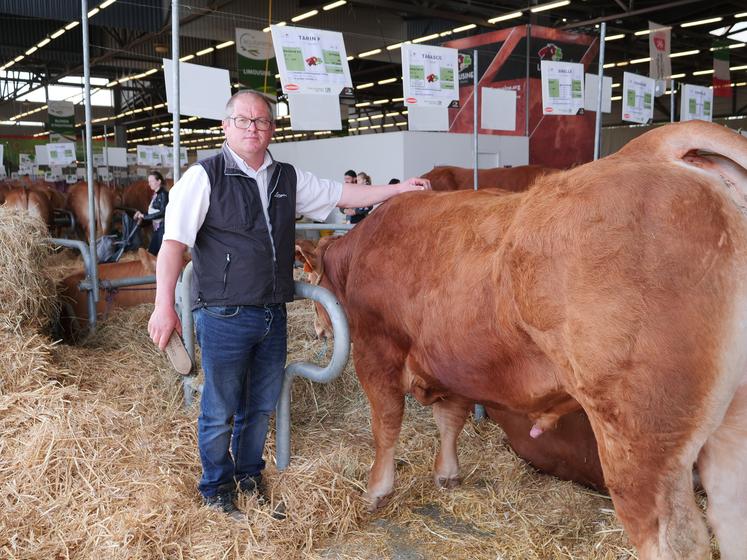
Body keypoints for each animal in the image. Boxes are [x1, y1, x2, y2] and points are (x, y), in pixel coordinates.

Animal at [296, 120, 747, 556]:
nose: (319, 329)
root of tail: (649, 150)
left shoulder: (376, 349)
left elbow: (386, 424)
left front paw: (377, 490)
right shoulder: (454, 361)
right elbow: (450, 419)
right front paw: (448, 475)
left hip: (640, 434)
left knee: (675, 537)